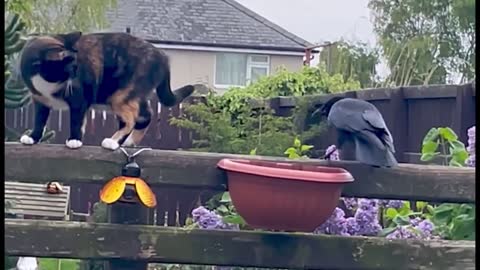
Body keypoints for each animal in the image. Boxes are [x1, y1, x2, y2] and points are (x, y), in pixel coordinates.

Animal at [18, 32, 195, 150]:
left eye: (76, 66)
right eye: (71, 66)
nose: (77, 74)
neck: (46, 84)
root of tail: (163, 57)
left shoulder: (79, 99)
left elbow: (76, 120)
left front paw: (74, 140)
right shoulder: (40, 100)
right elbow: (39, 120)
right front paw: (33, 137)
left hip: (120, 96)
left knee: (131, 119)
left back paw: (113, 142)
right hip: (131, 95)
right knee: (146, 115)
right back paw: (129, 142)